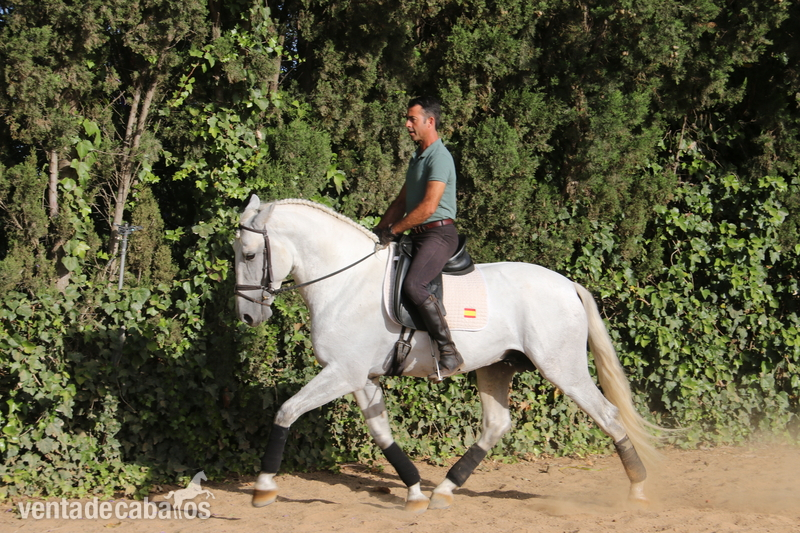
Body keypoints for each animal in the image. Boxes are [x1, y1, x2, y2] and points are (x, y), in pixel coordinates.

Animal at [234, 196, 660, 512]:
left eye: (250, 255)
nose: (247, 316)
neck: (346, 282)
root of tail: (568, 284)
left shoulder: (343, 372)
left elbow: (286, 410)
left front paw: (264, 486)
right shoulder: (361, 377)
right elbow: (382, 433)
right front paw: (415, 492)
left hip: (562, 369)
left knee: (608, 415)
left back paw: (639, 490)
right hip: (496, 367)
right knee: (496, 425)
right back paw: (444, 490)